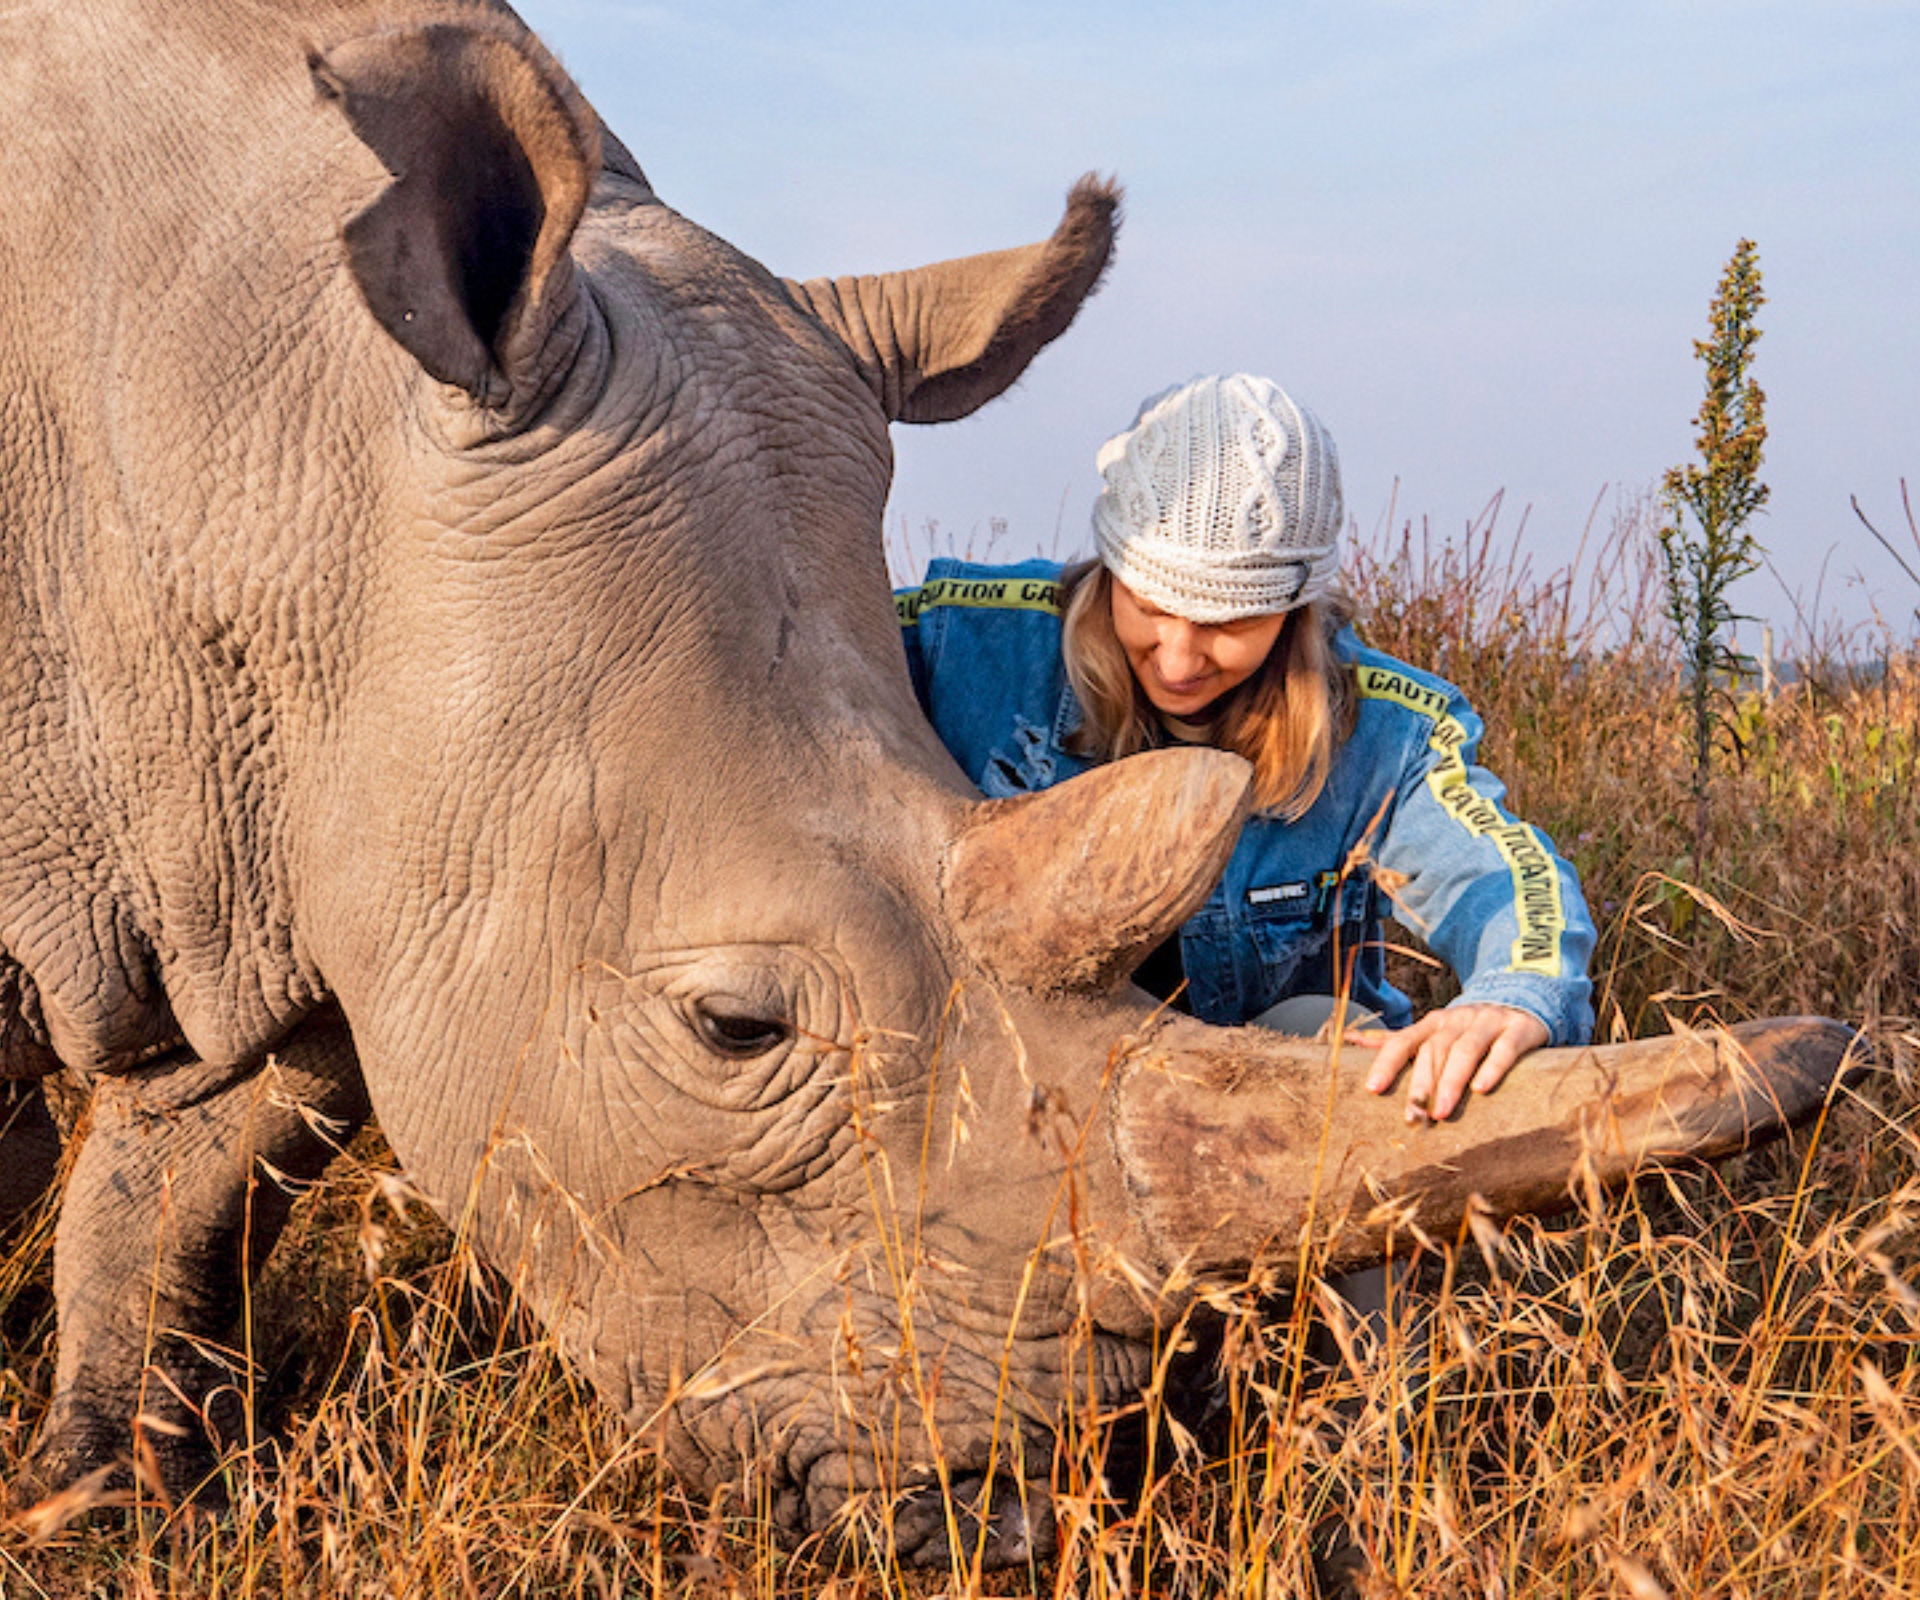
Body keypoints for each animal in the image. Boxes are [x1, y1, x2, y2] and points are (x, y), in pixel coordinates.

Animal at [0, 0, 1855, 1564]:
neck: (295, 435)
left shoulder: (302, 839)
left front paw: (111, 1499)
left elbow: (192, 1171)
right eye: (731, 1030)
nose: (1000, 1514)